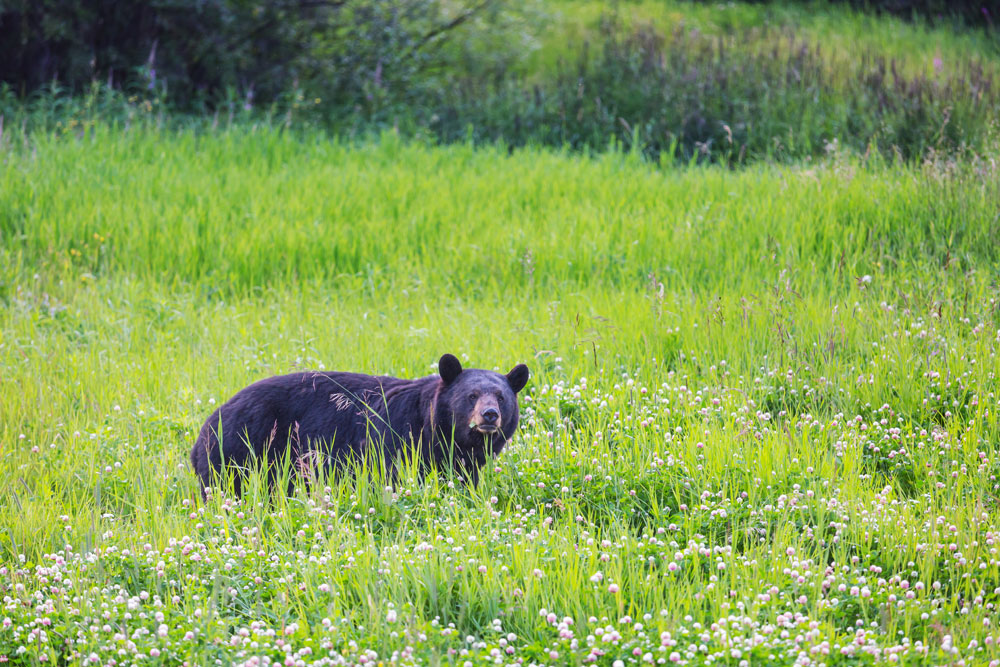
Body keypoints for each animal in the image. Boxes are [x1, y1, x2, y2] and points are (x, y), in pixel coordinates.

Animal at [189, 352, 532, 498]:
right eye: (471, 395)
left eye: (501, 397)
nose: (489, 415)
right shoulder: (394, 440)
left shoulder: (463, 462)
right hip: (238, 451)